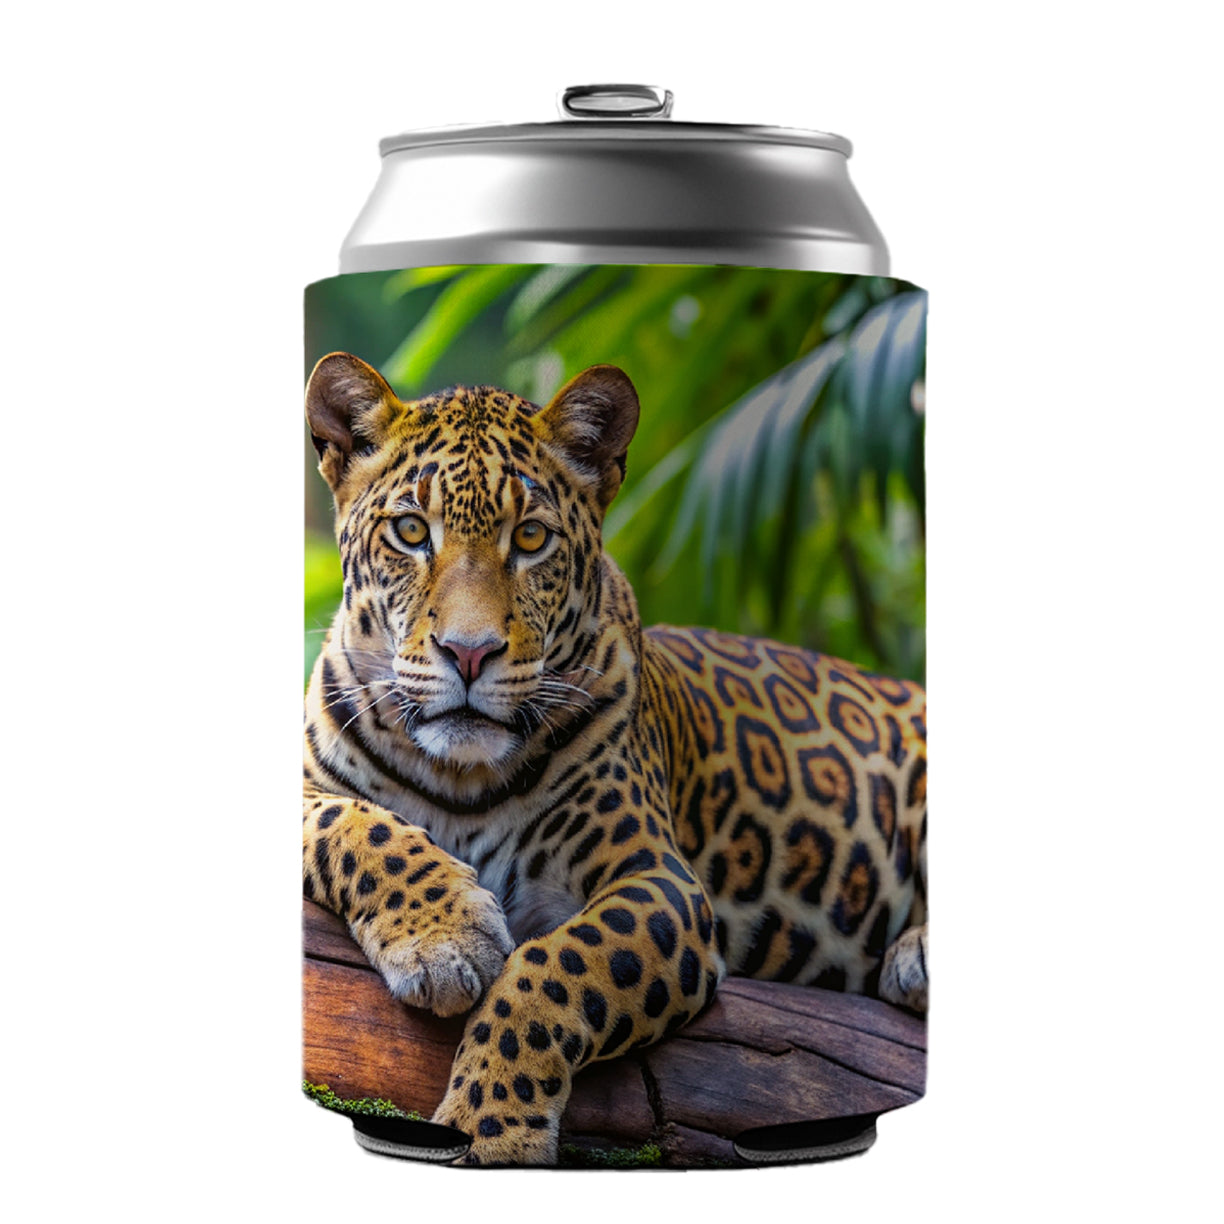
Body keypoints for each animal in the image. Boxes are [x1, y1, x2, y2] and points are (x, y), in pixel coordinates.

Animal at [302, 352, 928, 1166]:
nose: (468, 653)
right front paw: (444, 938)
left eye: (531, 538)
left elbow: (554, 969)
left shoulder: (662, 884)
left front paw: (492, 1127)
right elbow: (359, 825)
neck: (459, 775)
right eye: (410, 531)